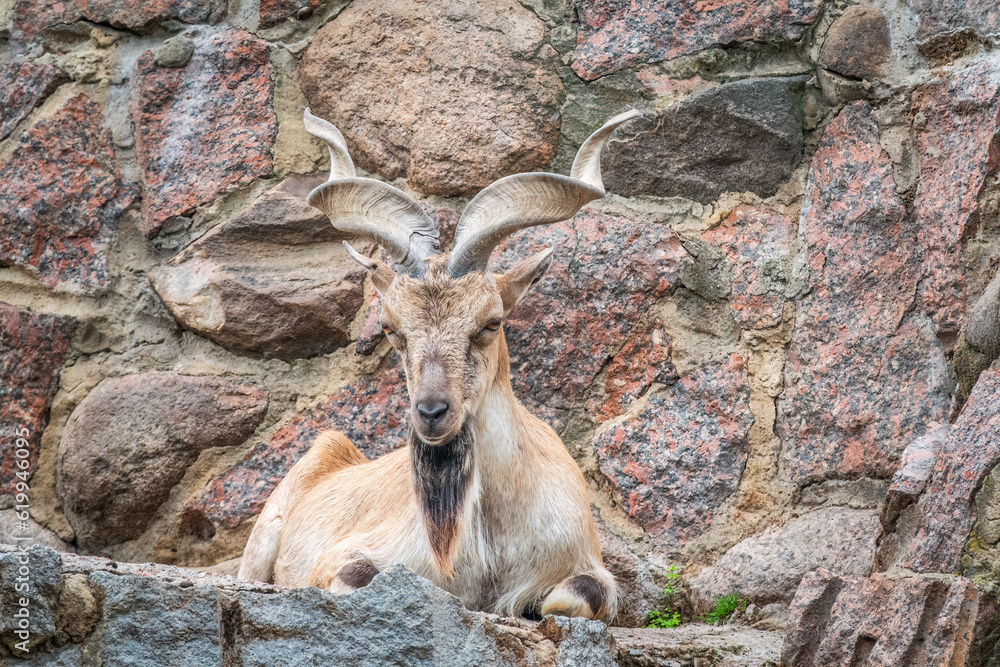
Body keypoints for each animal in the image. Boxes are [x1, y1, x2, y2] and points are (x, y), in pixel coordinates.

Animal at [238, 107, 642, 622]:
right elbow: (355, 577)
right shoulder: (345, 555)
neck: (493, 533)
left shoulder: (588, 564)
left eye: (491, 322)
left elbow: (576, 595)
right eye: (391, 327)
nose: (431, 413)